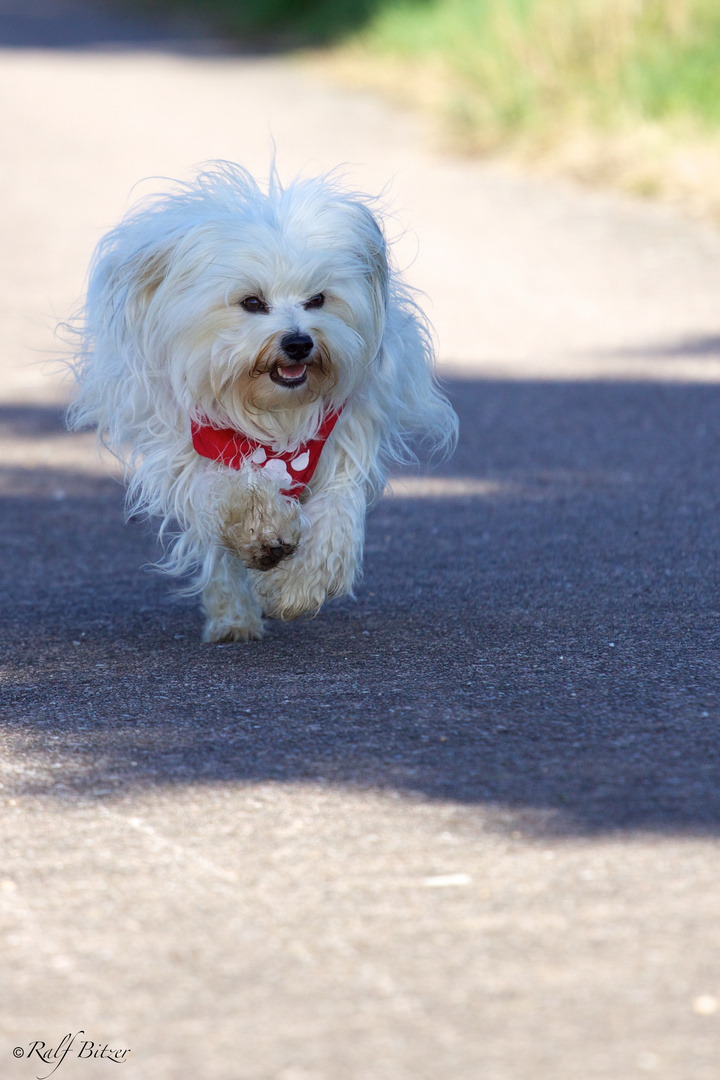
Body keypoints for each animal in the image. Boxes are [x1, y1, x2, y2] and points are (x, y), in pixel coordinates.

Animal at [70, 163, 459, 635]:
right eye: (252, 302)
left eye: (317, 299)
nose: (298, 342)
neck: (275, 420)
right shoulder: (189, 445)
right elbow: (223, 497)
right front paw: (260, 532)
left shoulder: (345, 439)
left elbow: (335, 515)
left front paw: (297, 585)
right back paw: (234, 617)